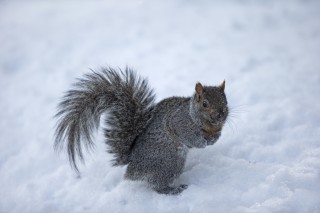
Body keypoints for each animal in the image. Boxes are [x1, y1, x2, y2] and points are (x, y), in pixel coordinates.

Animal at [55, 67, 230, 195]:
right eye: (205, 104)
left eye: (226, 101)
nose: (220, 115)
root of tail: (132, 163)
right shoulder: (179, 123)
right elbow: (191, 139)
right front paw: (203, 142)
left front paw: (215, 138)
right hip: (169, 163)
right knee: (157, 185)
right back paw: (173, 189)